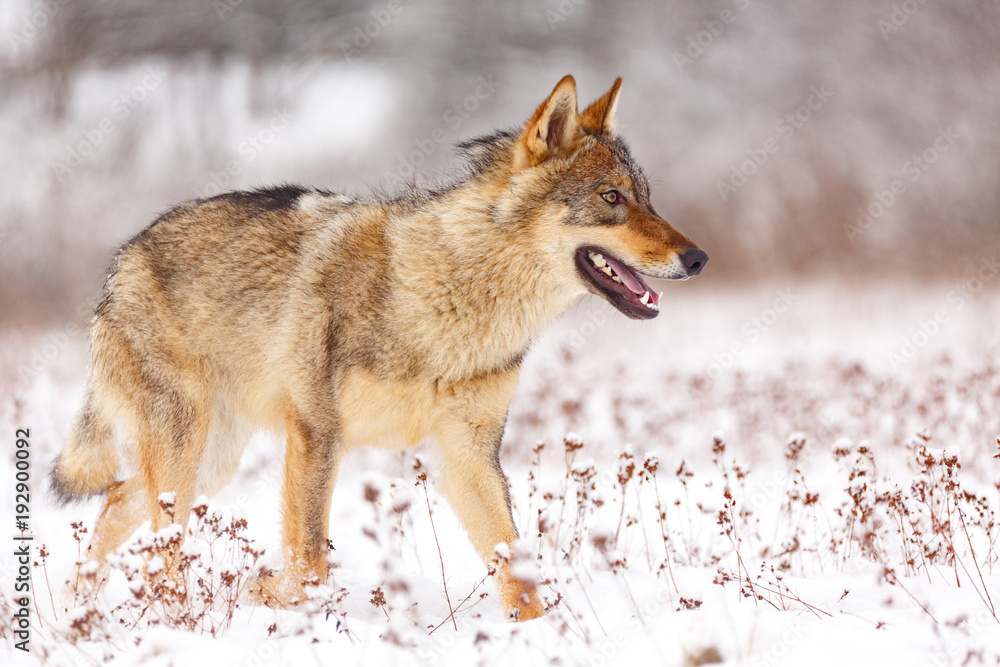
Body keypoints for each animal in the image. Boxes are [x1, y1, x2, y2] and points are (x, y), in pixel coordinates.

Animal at [51, 75, 707, 621]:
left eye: (647, 197)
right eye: (612, 198)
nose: (698, 258)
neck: (451, 300)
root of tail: (124, 257)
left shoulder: (470, 456)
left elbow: (520, 578)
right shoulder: (316, 434)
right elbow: (309, 568)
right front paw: (269, 596)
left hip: (209, 465)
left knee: (116, 504)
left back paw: (80, 615)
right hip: (187, 461)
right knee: (157, 541)